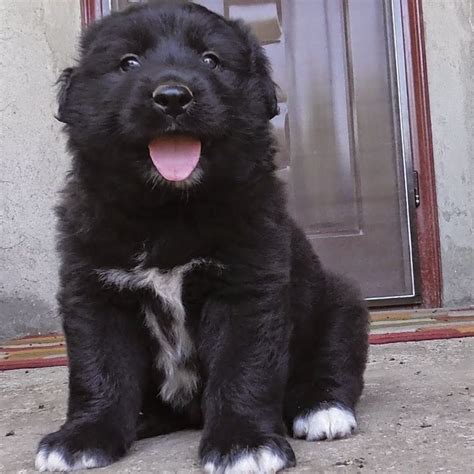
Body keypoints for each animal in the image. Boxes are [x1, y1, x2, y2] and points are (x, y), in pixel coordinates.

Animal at [37, 1, 368, 472]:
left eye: (211, 60)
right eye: (128, 63)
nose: (173, 96)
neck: (168, 211)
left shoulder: (245, 289)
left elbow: (241, 368)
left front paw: (243, 443)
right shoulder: (95, 291)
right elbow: (98, 367)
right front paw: (84, 437)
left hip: (340, 303)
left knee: (333, 360)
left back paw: (322, 410)